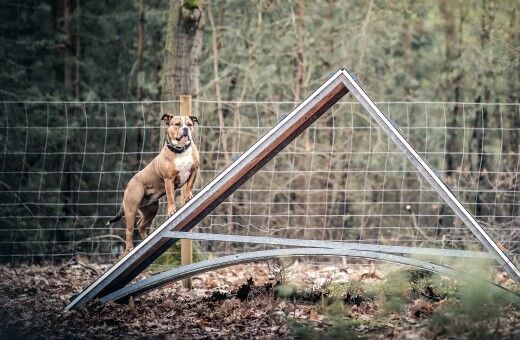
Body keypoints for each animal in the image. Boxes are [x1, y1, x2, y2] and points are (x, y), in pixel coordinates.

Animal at [107, 114, 199, 255]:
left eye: (189, 124)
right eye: (177, 124)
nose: (185, 129)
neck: (180, 150)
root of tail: (129, 184)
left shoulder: (194, 171)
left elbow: (189, 186)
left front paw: (188, 196)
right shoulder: (168, 180)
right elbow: (171, 197)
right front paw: (171, 211)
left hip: (151, 210)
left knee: (140, 225)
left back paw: (145, 240)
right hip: (131, 208)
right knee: (129, 230)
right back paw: (129, 248)